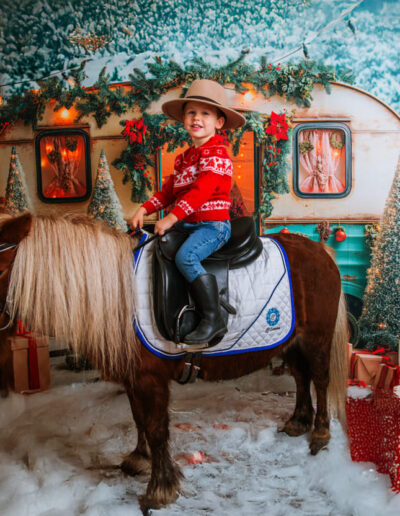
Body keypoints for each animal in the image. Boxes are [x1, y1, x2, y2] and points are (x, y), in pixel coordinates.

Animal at [0, 212, 346, 510]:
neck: (120, 294)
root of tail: (321, 251)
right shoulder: (134, 378)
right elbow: (139, 420)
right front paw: (139, 458)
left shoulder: (150, 379)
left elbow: (156, 428)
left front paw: (161, 487)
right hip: (291, 342)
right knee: (301, 378)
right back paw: (299, 421)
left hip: (316, 340)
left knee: (320, 380)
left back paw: (320, 432)